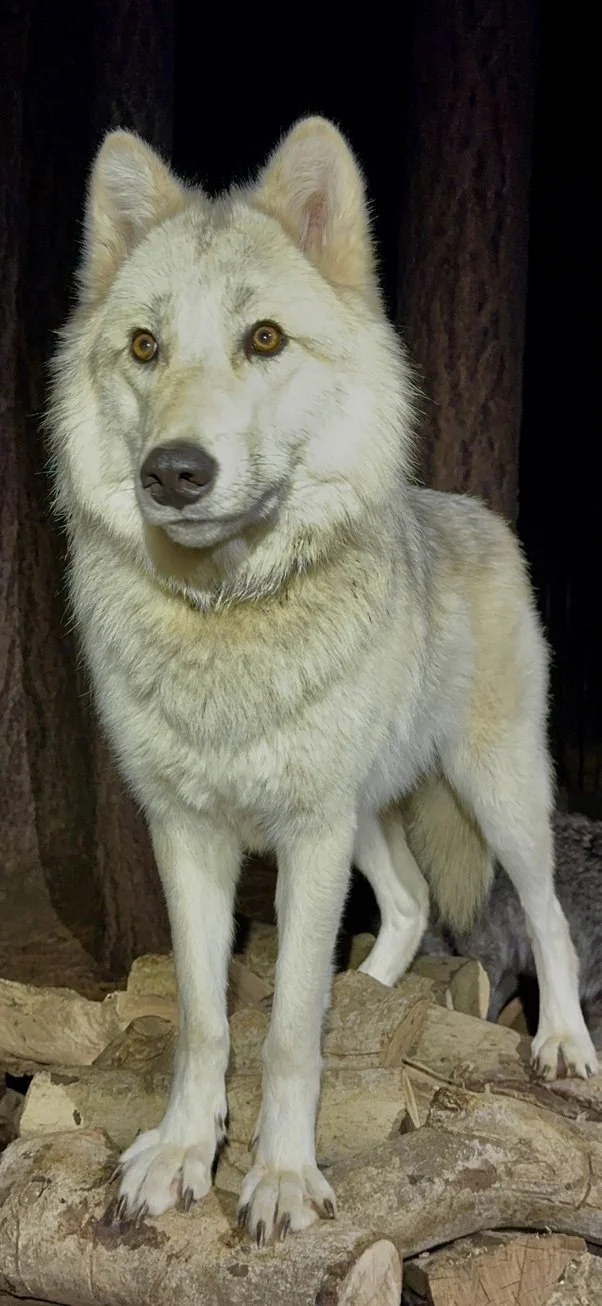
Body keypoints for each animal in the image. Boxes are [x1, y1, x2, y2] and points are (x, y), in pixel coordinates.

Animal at [47, 116, 597, 1244]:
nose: (173, 472)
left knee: (548, 918)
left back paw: (564, 1044)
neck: (229, 617)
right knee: (407, 906)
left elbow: (291, 1026)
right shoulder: (190, 833)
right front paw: (180, 1156)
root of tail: (469, 507)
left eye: (264, 340)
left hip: (494, 793)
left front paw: (283, 1179)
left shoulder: (307, 832)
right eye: (144, 347)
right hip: (371, 814)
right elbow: (208, 1021)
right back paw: (377, 993)